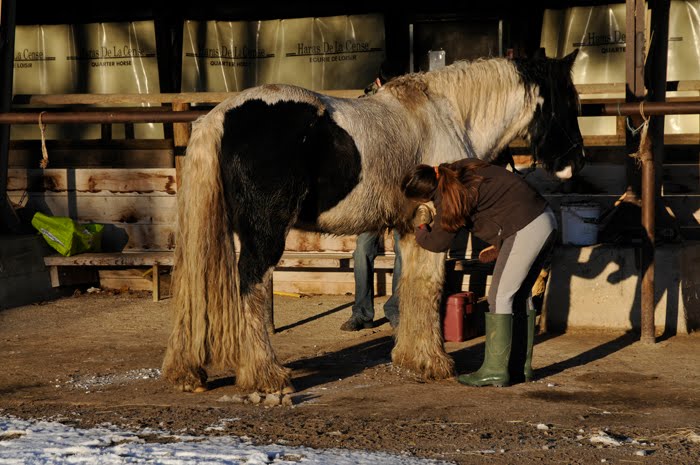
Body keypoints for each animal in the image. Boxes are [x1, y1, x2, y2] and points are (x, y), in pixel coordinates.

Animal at [161, 49, 584, 392]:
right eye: (569, 100)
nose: (575, 162)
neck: (447, 114)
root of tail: (219, 117)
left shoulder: (411, 228)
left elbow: (413, 288)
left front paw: (413, 359)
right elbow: (430, 288)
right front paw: (434, 363)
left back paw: (189, 373)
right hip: (264, 235)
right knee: (253, 284)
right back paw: (266, 376)